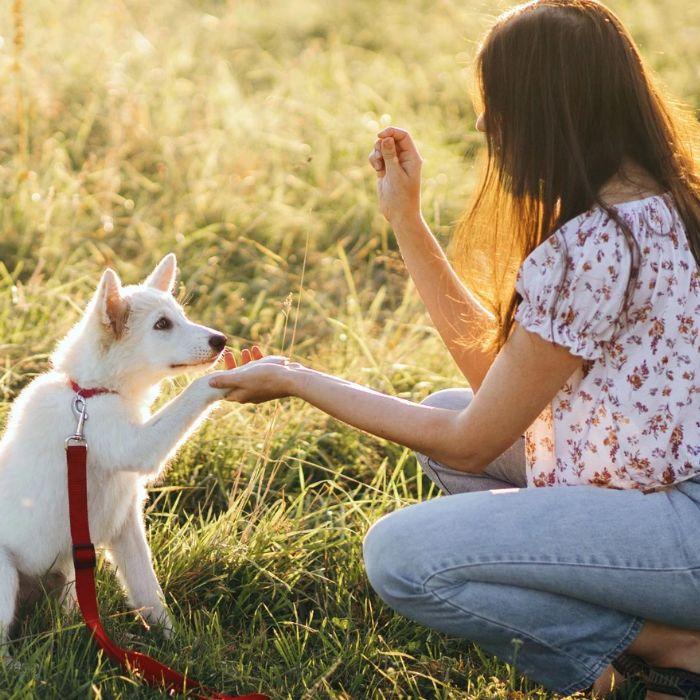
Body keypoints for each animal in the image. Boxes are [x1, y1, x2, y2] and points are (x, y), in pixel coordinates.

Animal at [0, 253, 230, 656]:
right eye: (162, 325)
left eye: (180, 316)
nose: (221, 340)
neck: (89, 394)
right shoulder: (138, 447)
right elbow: (192, 394)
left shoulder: (126, 524)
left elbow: (148, 591)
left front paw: (177, 646)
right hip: (5, 575)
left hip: (68, 570)